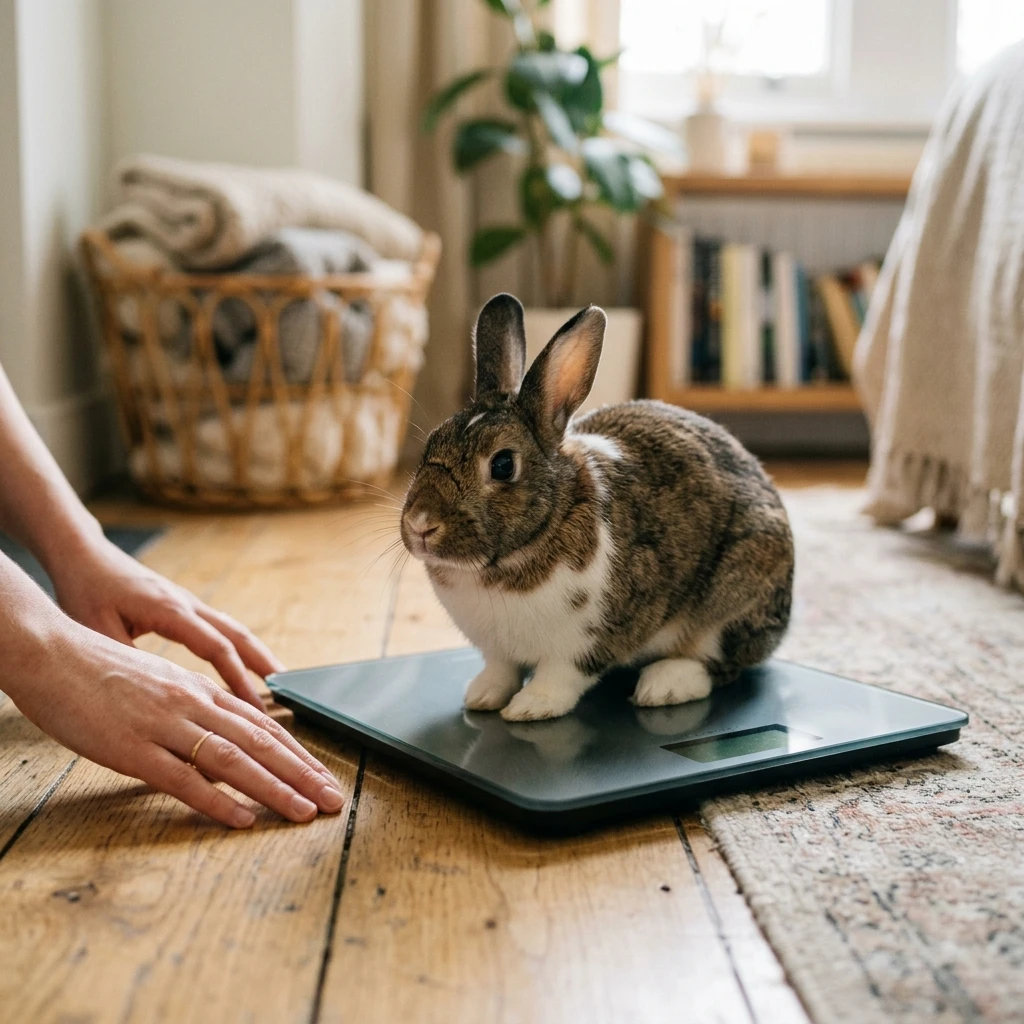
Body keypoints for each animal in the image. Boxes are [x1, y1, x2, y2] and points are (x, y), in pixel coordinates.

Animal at [400, 293, 794, 722]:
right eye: (431, 444)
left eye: (503, 465)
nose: (421, 524)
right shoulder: (498, 651)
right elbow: (501, 670)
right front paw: (482, 696)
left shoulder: (590, 640)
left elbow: (561, 675)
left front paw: (530, 707)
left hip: (731, 606)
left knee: (720, 664)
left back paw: (663, 685)